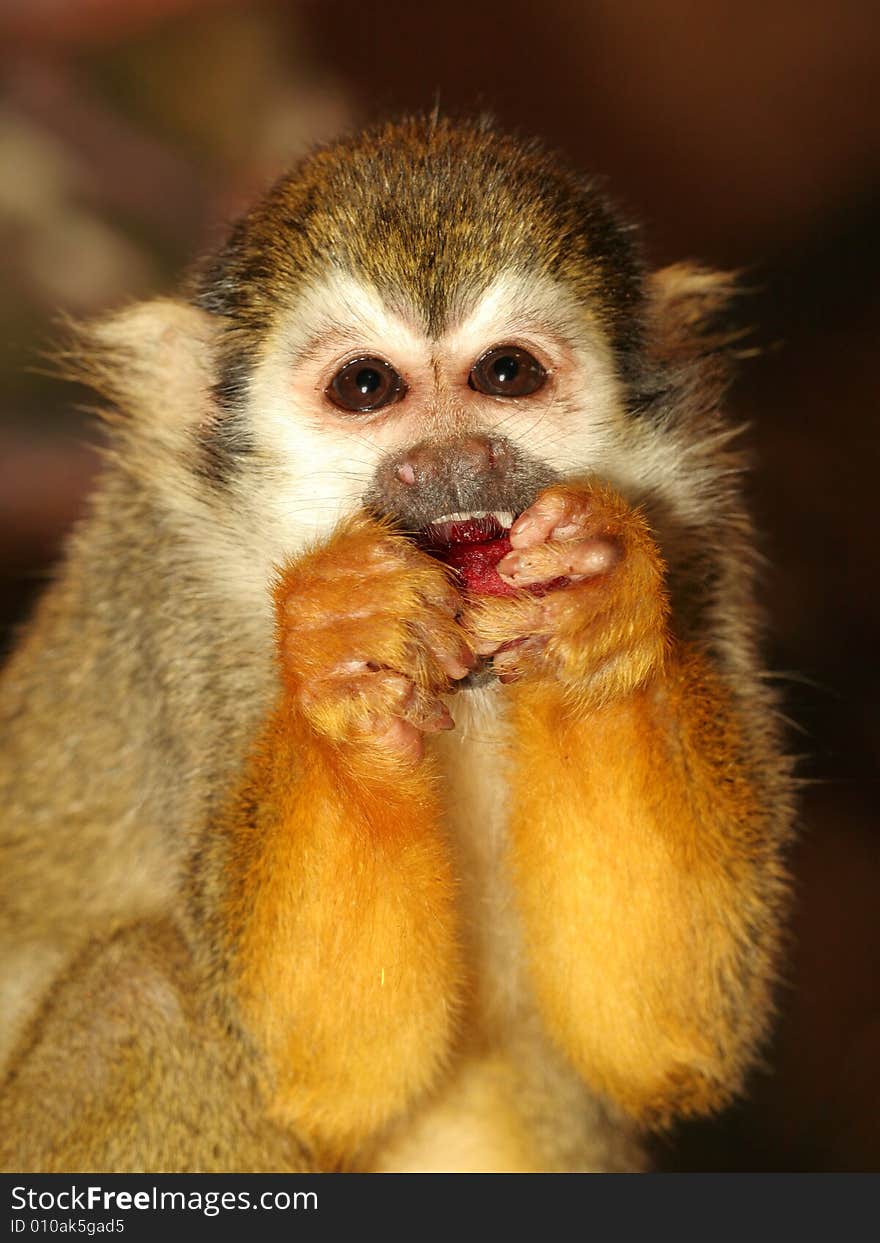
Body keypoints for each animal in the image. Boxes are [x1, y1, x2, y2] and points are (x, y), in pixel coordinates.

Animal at [0, 116, 795, 1173]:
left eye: (506, 373)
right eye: (366, 386)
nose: (457, 457)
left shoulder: (700, 540)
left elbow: (663, 1032)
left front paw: (596, 619)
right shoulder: (177, 604)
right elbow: (313, 1066)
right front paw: (348, 654)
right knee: (144, 993)